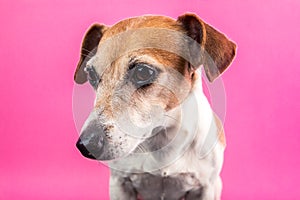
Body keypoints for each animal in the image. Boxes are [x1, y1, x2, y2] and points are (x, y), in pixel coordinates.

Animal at [74, 13, 236, 199]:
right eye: (91, 75)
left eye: (143, 72)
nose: (86, 144)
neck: (162, 139)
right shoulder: (119, 183)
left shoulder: (205, 187)